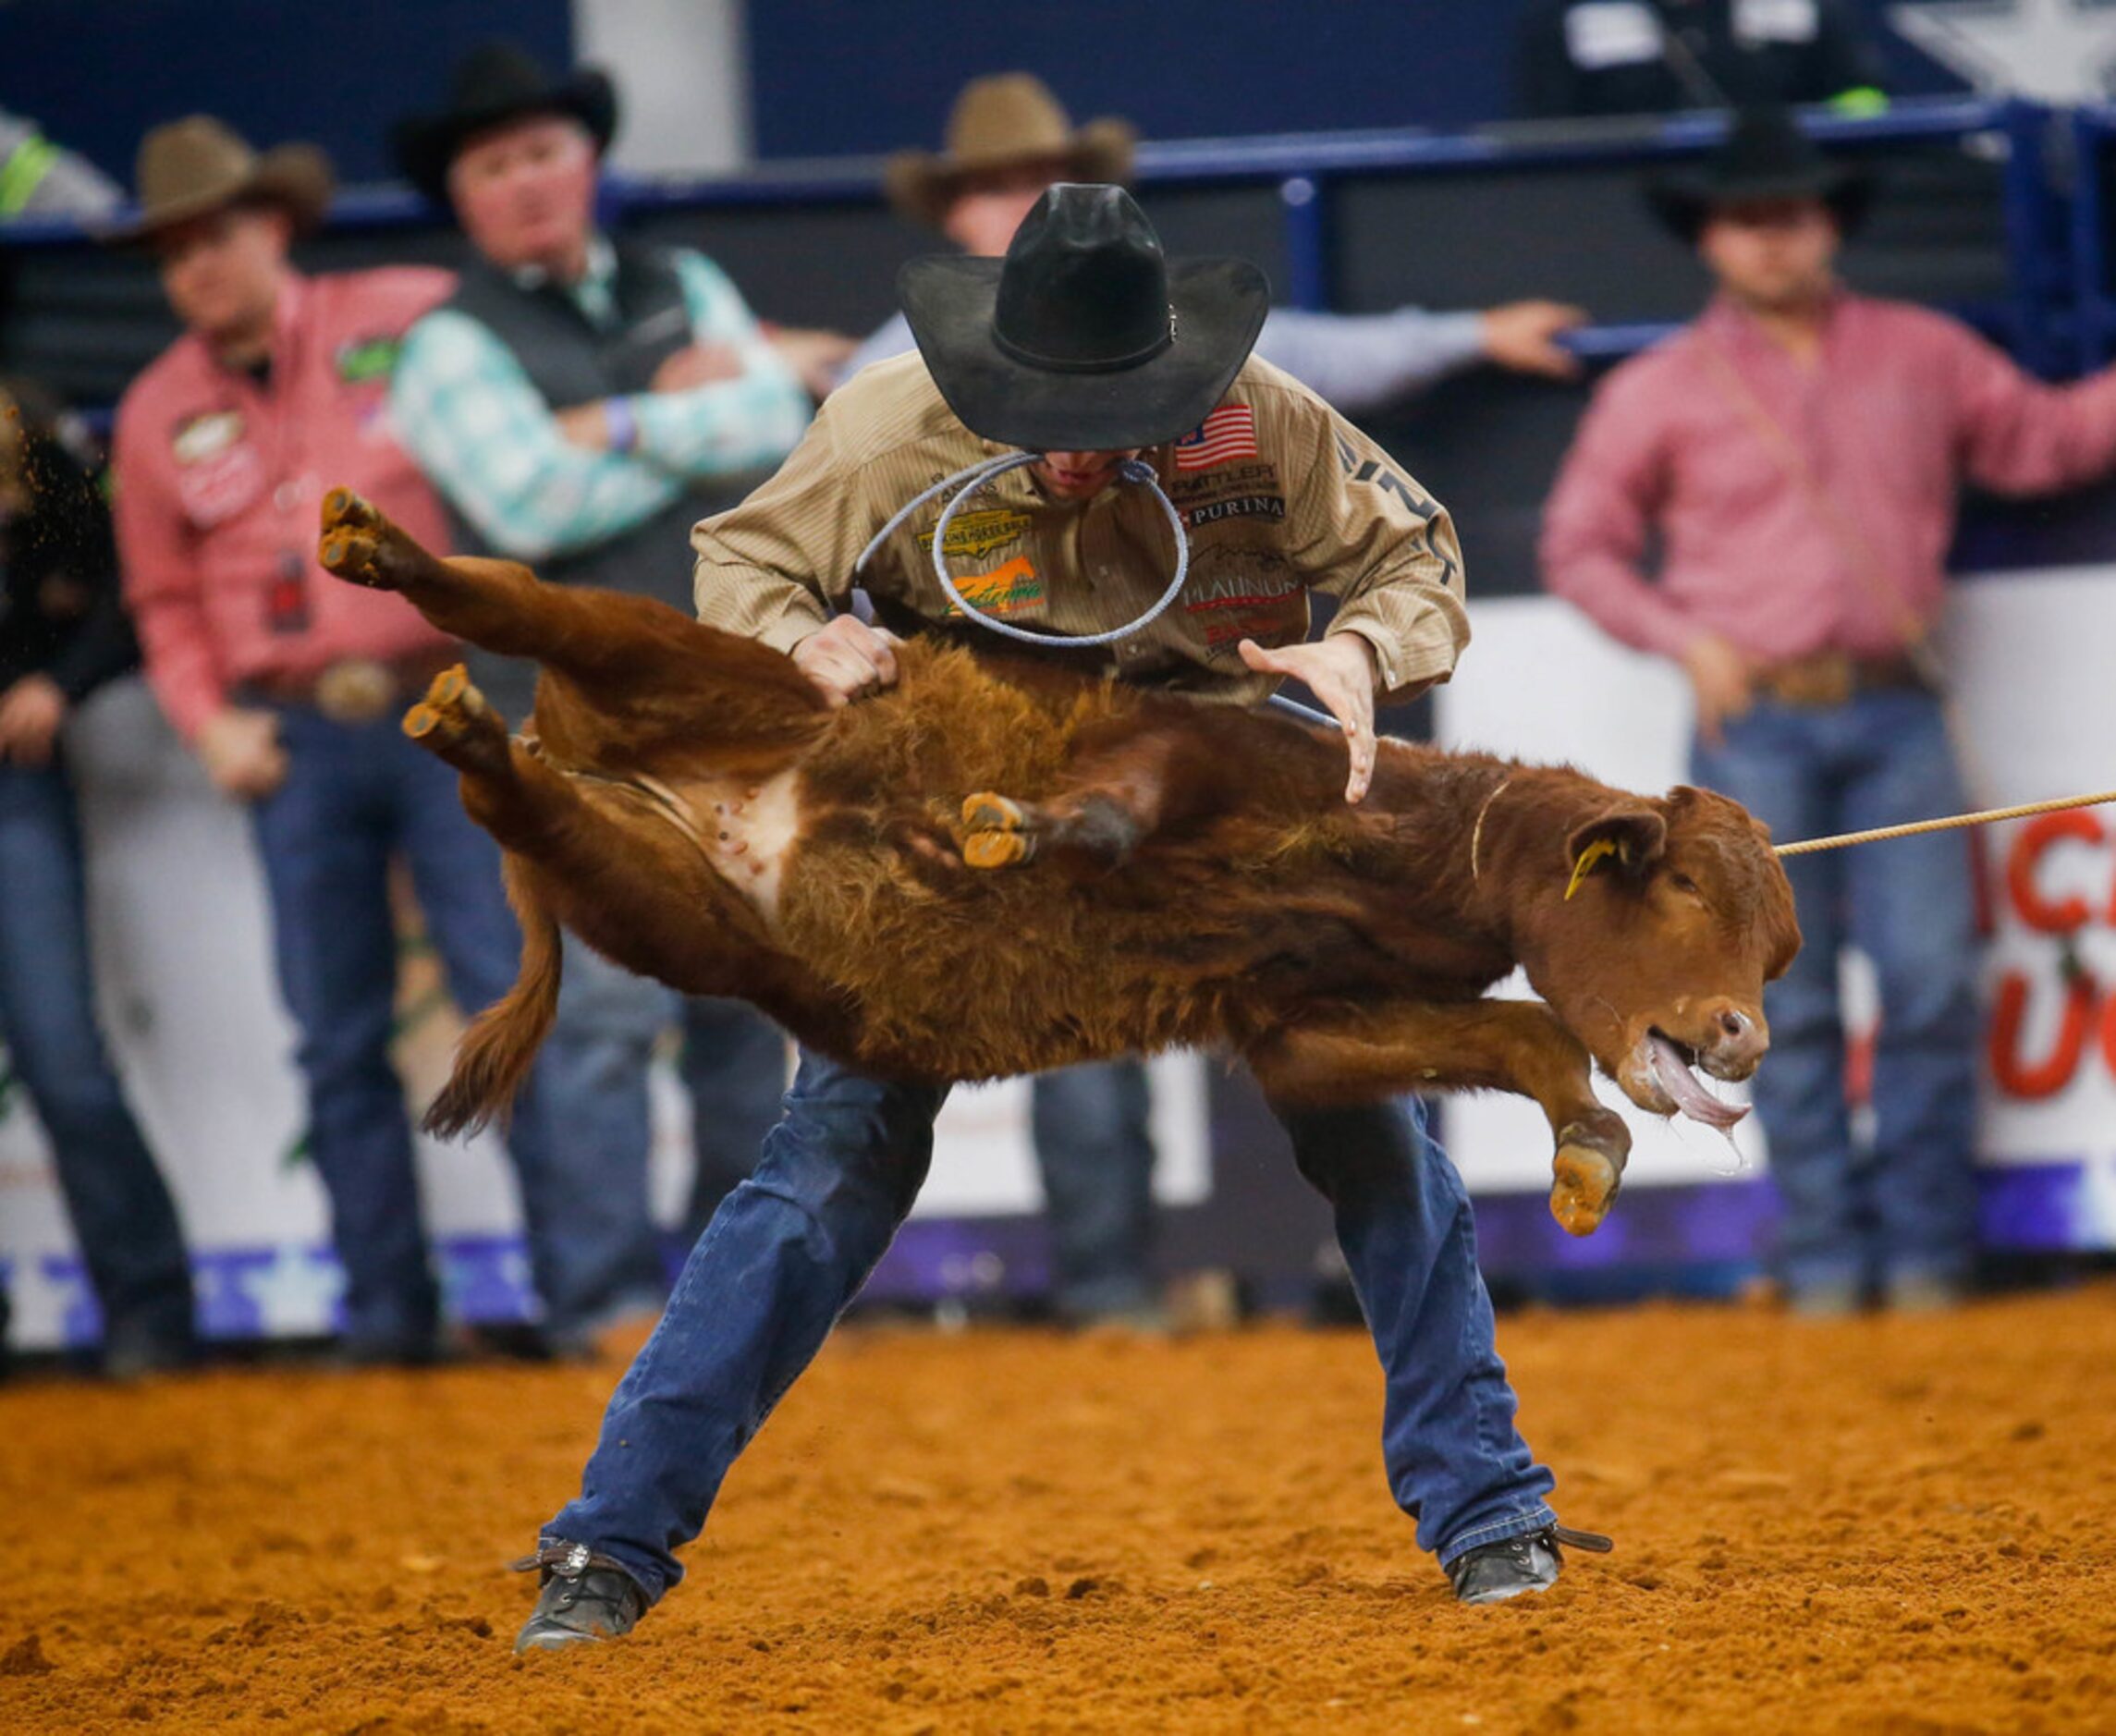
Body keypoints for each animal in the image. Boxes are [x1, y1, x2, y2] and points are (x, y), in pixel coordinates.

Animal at [317, 489, 1803, 1236]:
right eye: (1678, 884)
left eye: (1778, 947)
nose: (1745, 1032)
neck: (1386, 852)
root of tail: (562, 734)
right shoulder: (1178, 747)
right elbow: (1110, 813)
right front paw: (1007, 833)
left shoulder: (1300, 1023)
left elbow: (1523, 1037)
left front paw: (1589, 1155)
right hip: (679, 660)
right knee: (530, 600)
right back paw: (381, 550)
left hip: (661, 902)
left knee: (522, 806)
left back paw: (465, 731)